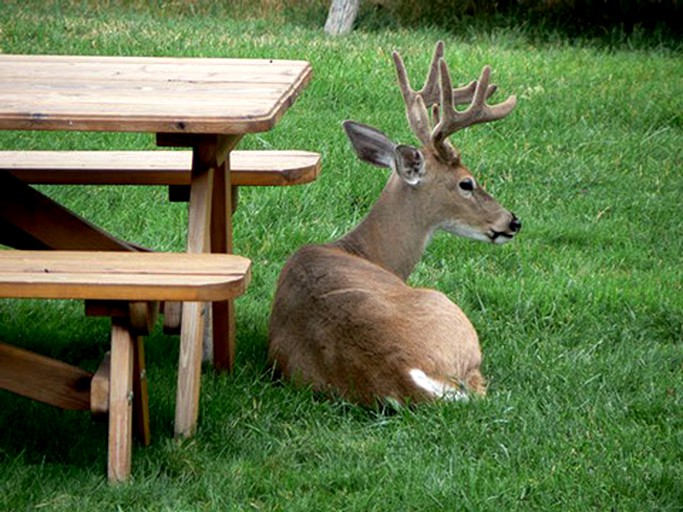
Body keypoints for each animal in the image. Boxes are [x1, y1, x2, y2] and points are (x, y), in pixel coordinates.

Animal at [268, 41, 524, 408]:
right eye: (467, 183)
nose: (512, 221)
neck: (366, 251)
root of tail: (405, 373)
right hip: (448, 309)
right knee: (478, 386)